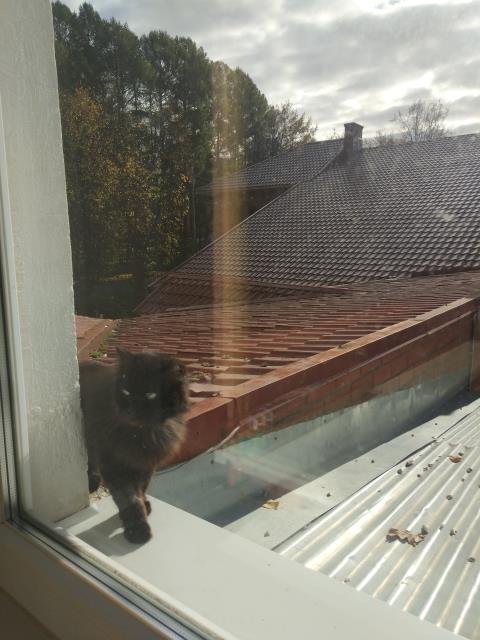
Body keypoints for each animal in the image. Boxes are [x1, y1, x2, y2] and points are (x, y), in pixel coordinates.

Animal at [79, 347, 189, 544]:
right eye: (126, 392)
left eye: (151, 394)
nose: (130, 411)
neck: (142, 434)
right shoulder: (114, 464)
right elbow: (129, 499)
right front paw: (137, 530)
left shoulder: (146, 464)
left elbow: (141, 489)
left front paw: (145, 504)